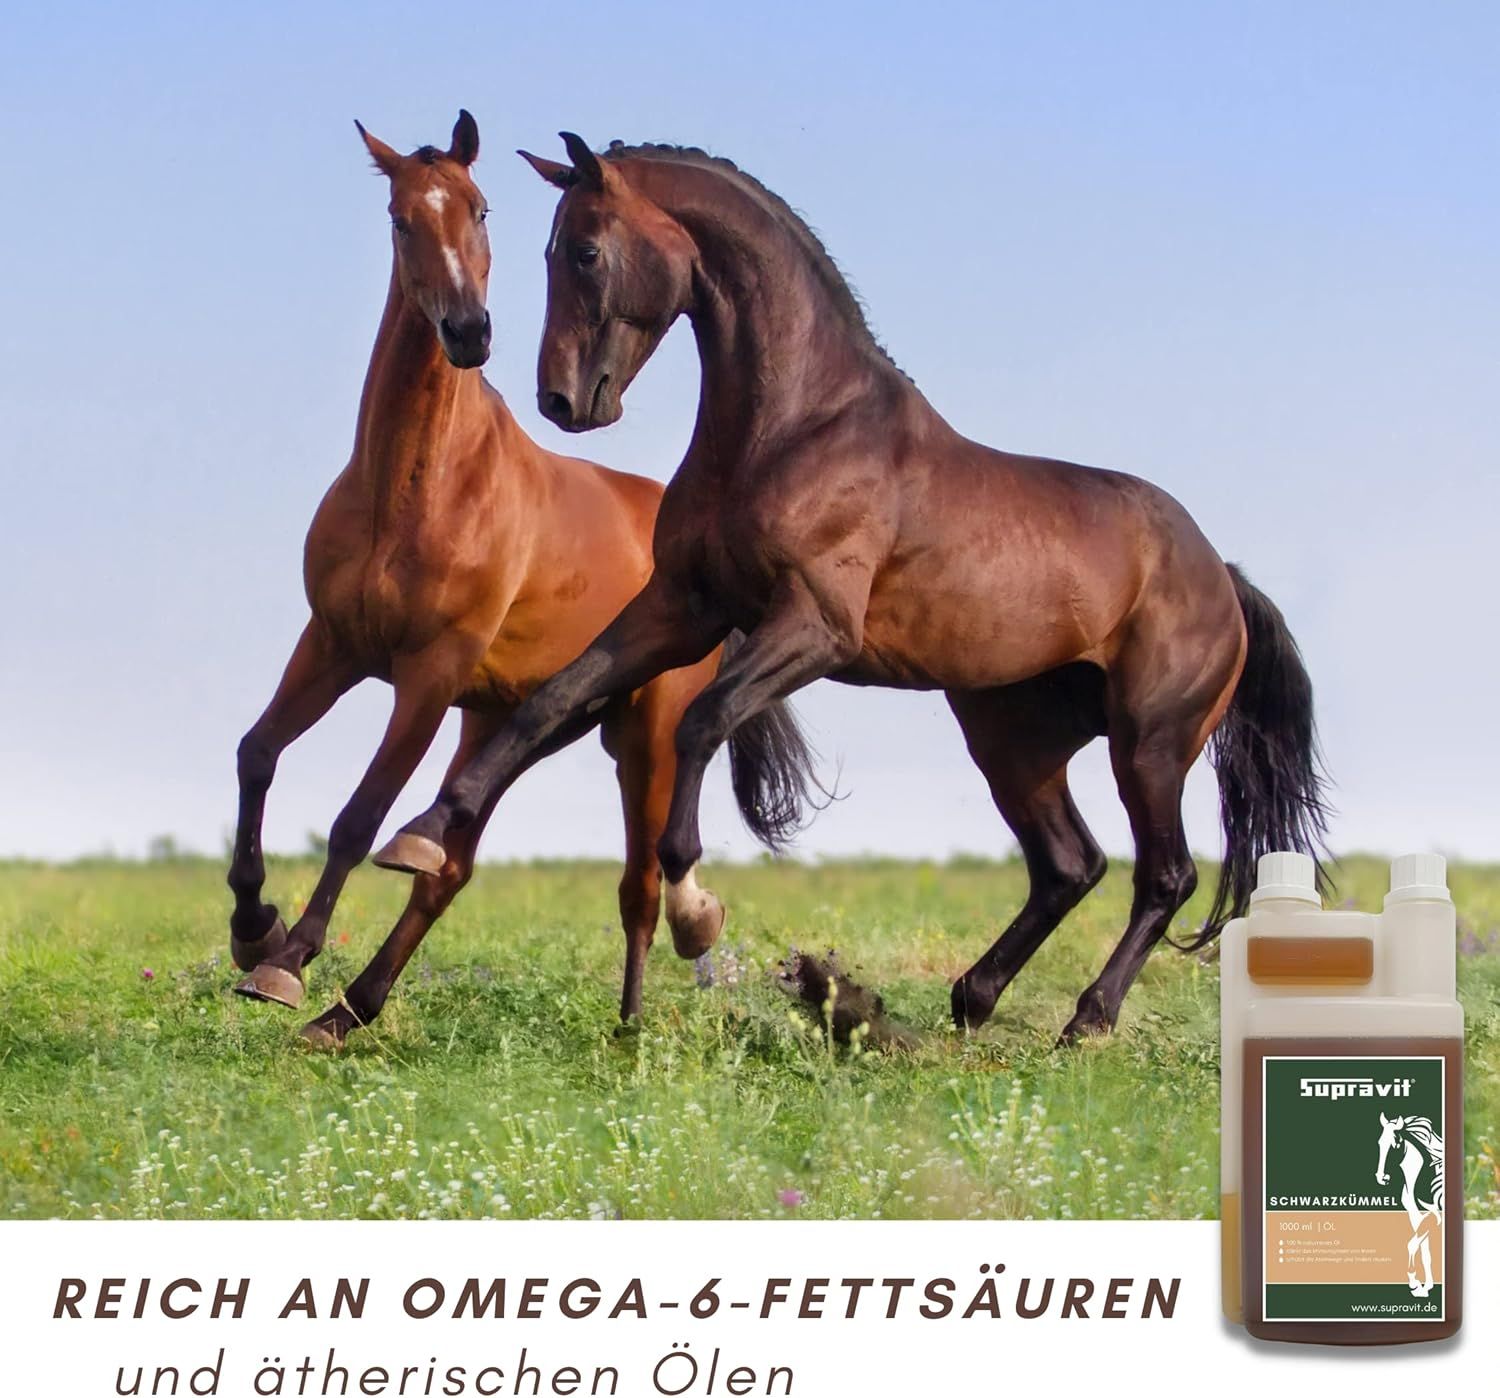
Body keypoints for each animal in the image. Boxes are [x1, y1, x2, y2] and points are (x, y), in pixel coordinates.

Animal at [226, 114, 816, 1048]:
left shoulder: (427, 676)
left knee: (638, 885)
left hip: (643, 734)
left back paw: (633, 1021)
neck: (417, 487)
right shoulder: (333, 644)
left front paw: (285, 962)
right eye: (400, 218)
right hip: (507, 721)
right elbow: (257, 755)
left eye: (480, 209)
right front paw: (253, 931)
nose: (469, 331)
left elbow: (358, 818)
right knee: (448, 865)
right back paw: (349, 1010)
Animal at [376, 133, 1328, 1044]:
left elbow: (703, 721)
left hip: (1150, 742)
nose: (563, 400)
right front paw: (422, 830)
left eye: (584, 250)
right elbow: (552, 701)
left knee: (1164, 874)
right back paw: (972, 1000)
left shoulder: (812, 628)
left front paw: (695, 909)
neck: (797, 426)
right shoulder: (682, 608)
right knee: (1070, 865)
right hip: (1013, 742)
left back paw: (1085, 1022)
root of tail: (1222, 575)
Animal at [1376, 1112, 1445, 1296]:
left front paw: (1415, 1284)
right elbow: (1425, 1252)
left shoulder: (1435, 1217)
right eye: (1379, 1143)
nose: (1381, 1177)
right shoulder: (1417, 1216)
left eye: (1395, 1145)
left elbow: (1412, 1244)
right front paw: (1426, 1286)